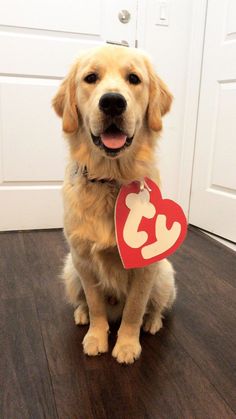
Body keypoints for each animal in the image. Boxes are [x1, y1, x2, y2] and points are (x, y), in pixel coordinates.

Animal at [53, 45, 175, 364]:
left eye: (134, 78)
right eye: (90, 78)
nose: (112, 102)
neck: (112, 179)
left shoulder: (145, 267)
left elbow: (134, 309)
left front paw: (127, 345)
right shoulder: (83, 261)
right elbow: (96, 305)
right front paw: (96, 337)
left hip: (164, 276)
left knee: (155, 307)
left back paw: (152, 322)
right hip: (70, 271)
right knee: (85, 302)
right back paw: (81, 314)